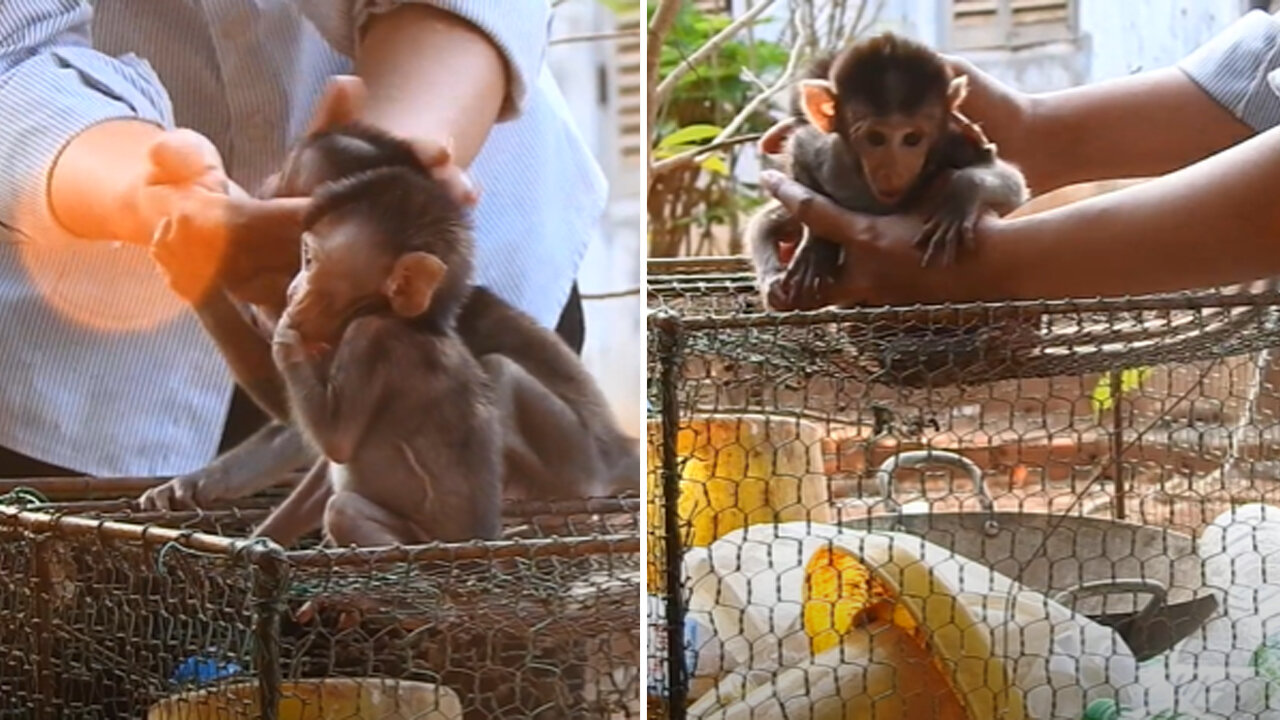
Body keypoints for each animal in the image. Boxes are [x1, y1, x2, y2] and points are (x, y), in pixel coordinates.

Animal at [747, 32, 1029, 310]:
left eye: (912, 138)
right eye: (875, 138)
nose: (892, 171)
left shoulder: (952, 143)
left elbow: (1009, 183)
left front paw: (958, 199)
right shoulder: (827, 156)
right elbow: (799, 149)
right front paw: (818, 245)